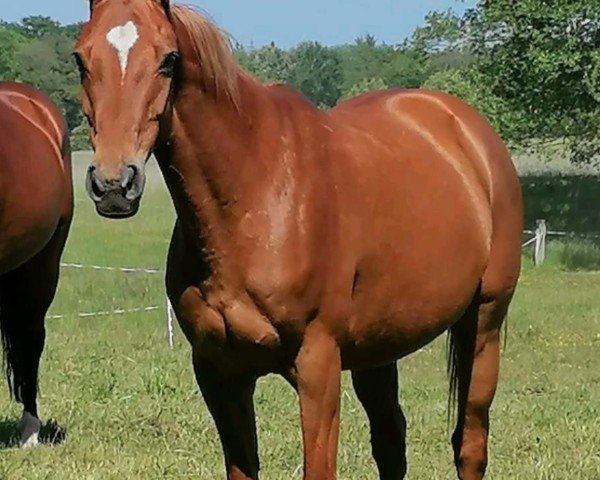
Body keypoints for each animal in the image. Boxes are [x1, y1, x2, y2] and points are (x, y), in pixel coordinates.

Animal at [76, 1, 520, 478]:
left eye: (168, 59)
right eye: (81, 59)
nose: (114, 184)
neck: (255, 193)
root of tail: (466, 129)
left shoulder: (317, 368)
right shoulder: (219, 373)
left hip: (483, 326)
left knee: (469, 444)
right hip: (380, 347)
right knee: (390, 440)